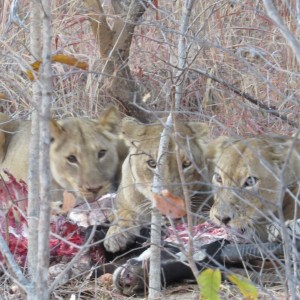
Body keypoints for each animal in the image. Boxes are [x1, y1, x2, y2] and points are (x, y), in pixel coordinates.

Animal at [104, 116, 212, 252]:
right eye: (152, 163)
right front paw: (116, 234)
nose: (172, 208)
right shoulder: (121, 204)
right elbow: (123, 212)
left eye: (187, 163)